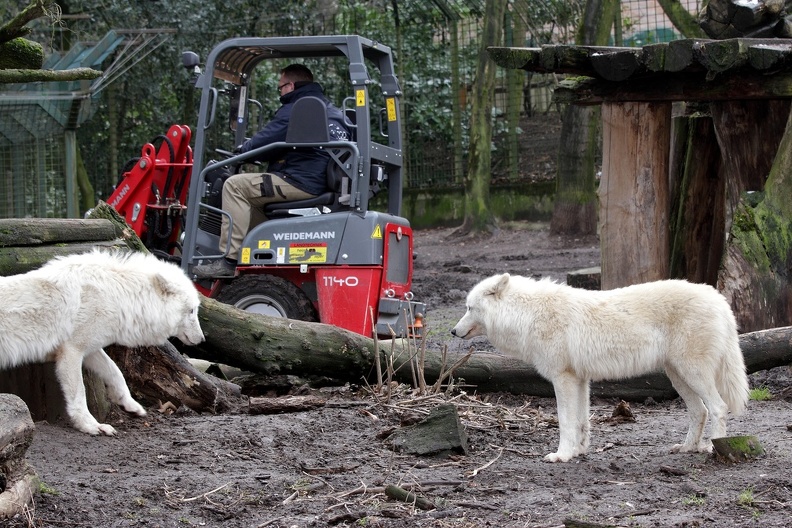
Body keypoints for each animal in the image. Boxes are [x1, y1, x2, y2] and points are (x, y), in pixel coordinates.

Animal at [0, 250, 204, 436]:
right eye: (191, 311)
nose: (202, 339)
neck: (117, 296)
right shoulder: (72, 352)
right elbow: (79, 393)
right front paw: (91, 426)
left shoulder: (91, 350)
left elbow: (116, 373)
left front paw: (130, 405)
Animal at [452, 274, 748, 464]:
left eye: (469, 308)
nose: (452, 331)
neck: (527, 314)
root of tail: (718, 298)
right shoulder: (581, 380)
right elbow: (581, 422)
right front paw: (579, 452)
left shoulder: (563, 379)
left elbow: (565, 422)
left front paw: (561, 455)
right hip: (678, 376)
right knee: (700, 411)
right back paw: (687, 448)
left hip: (692, 373)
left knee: (718, 408)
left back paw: (713, 448)